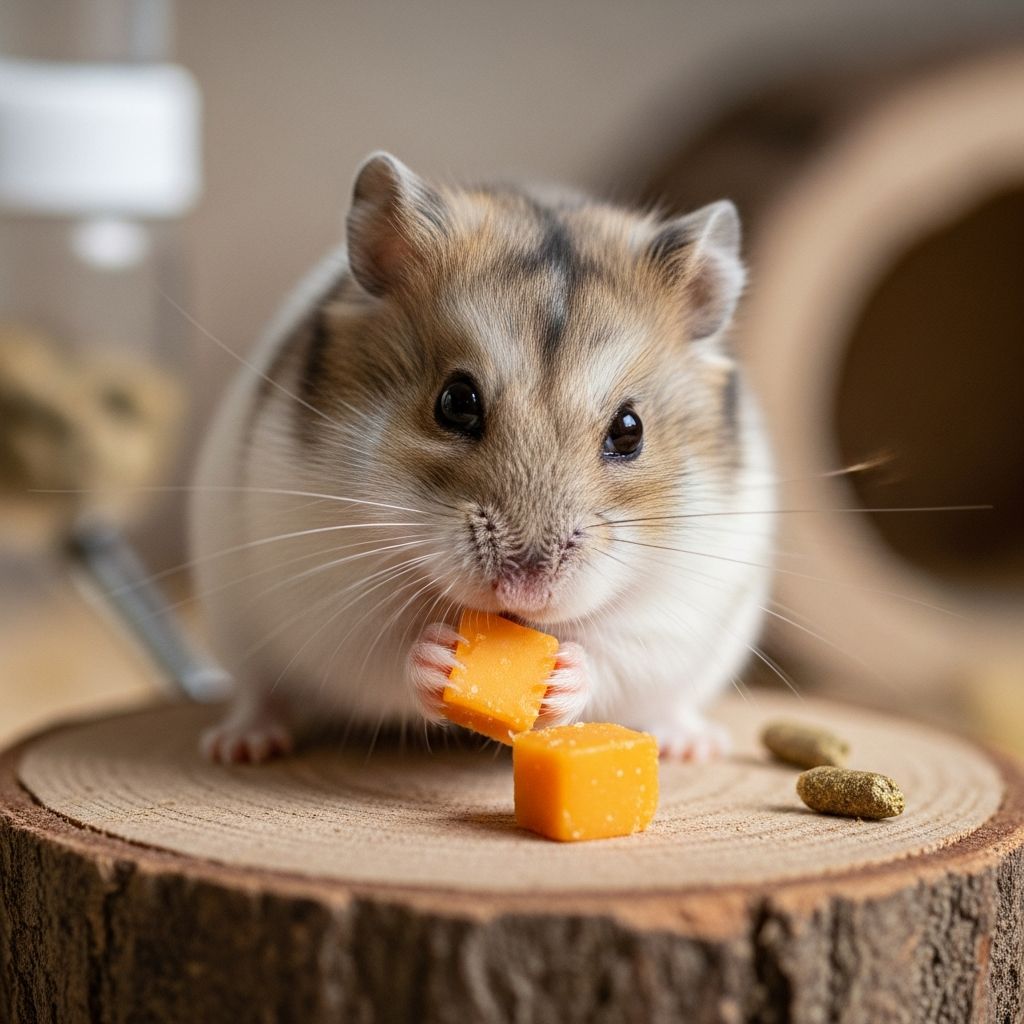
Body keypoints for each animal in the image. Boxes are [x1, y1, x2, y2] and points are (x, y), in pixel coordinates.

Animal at [190, 152, 775, 763]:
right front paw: (439, 657)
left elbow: (609, 652)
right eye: (456, 401)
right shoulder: (330, 591)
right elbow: (388, 653)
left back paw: (693, 745)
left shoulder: (673, 609)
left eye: (629, 430)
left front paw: (564, 673)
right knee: (261, 692)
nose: (525, 590)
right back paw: (240, 745)